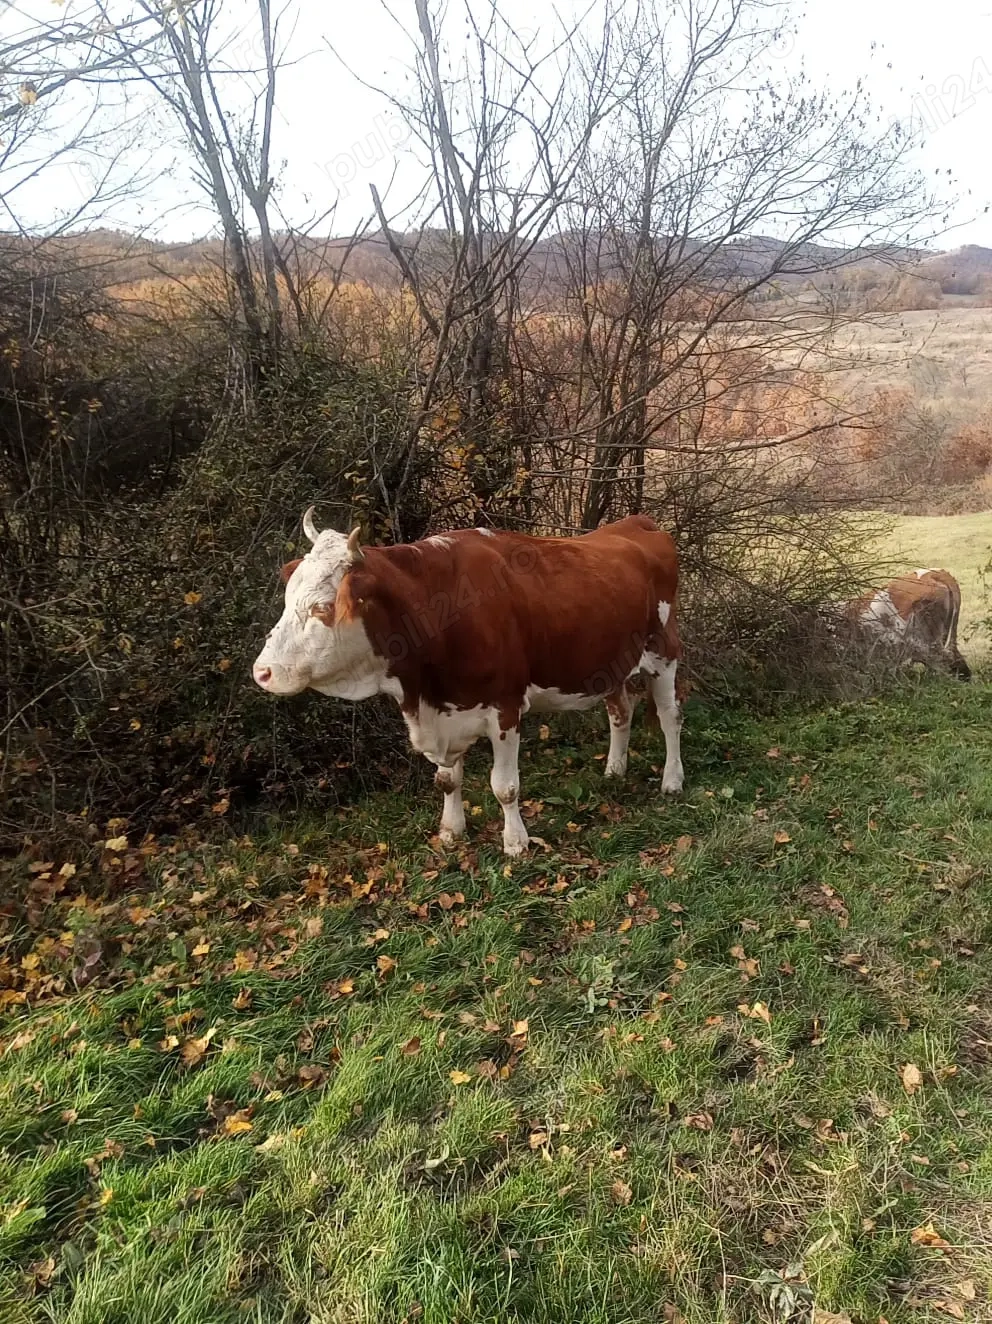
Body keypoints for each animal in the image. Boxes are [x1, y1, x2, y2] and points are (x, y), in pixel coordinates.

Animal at [252, 509, 685, 855]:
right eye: (288, 600)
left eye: (322, 608)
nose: (262, 672)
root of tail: (637, 523)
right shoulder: (446, 706)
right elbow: (446, 779)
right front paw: (451, 831)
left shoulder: (505, 707)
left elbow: (504, 786)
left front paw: (515, 842)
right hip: (612, 662)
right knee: (620, 712)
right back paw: (614, 770)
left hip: (664, 652)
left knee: (669, 718)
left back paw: (672, 780)